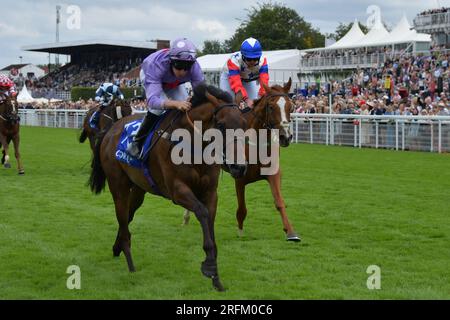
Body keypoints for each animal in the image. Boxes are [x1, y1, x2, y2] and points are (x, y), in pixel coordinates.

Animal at [88, 84, 248, 292]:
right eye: (220, 125)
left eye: (244, 124)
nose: (239, 167)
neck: (192, 145)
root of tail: (110, 129)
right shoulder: (177, 190)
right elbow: (202, 212)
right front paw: (209, 266)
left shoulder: (211, 193)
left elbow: (210, 221)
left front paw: (216, 278)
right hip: (118, 185)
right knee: (122, 218)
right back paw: (129, 262)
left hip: (139, 188)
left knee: (128, 216)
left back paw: (117, 248)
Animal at [184, 79, 302, 241]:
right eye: (271, 107)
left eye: (291, 106)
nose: (286, 137)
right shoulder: (240, 177)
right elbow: (242, 209)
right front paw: (240, 231)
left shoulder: (274, 173)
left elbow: (279, 201)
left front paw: (291, 232)